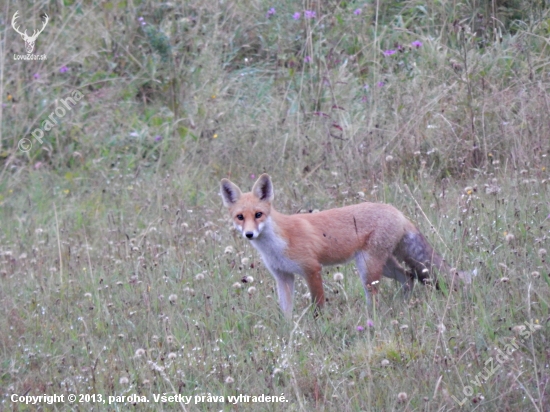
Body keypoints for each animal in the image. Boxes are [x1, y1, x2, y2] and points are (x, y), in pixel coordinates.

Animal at [222, 174, 472, 318]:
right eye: (240, 217)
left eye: (258, 214)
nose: (249, 234)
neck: (276, 244)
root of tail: (398, 212)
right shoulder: (283, 276)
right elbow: (286, 311)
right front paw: (289, 331)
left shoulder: (312, 269)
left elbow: (318, 305)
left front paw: (319, 326)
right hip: (383, 266)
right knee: (409, 277)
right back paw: (403, 304)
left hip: (367, 268)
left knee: (380, 294)